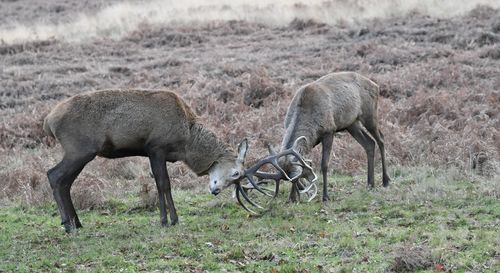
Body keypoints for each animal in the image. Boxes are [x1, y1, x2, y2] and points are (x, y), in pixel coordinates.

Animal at [44, 90, 250, 232]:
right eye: (236, 173)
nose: (215, 191)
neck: (186, 142)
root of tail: (48, 121)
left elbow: (162, 183)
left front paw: (169, 218)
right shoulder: (156, 147)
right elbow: (163, 183)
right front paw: (169, 220)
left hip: (80, 153)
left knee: (65, 183)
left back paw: (75, 223)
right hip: (79, 150)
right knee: (54, 175)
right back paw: (68, 225)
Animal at [254, 70, 390, 202]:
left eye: (296, 179)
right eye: (289, 180)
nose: (292, 199)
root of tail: (376, 85)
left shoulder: (329, 130)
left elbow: (324, 165)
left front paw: (325, 196)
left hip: (370, 114)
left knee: (381, 139)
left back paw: (386, 180)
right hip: (352, 123)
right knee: (369, 143)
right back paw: (370, 183)